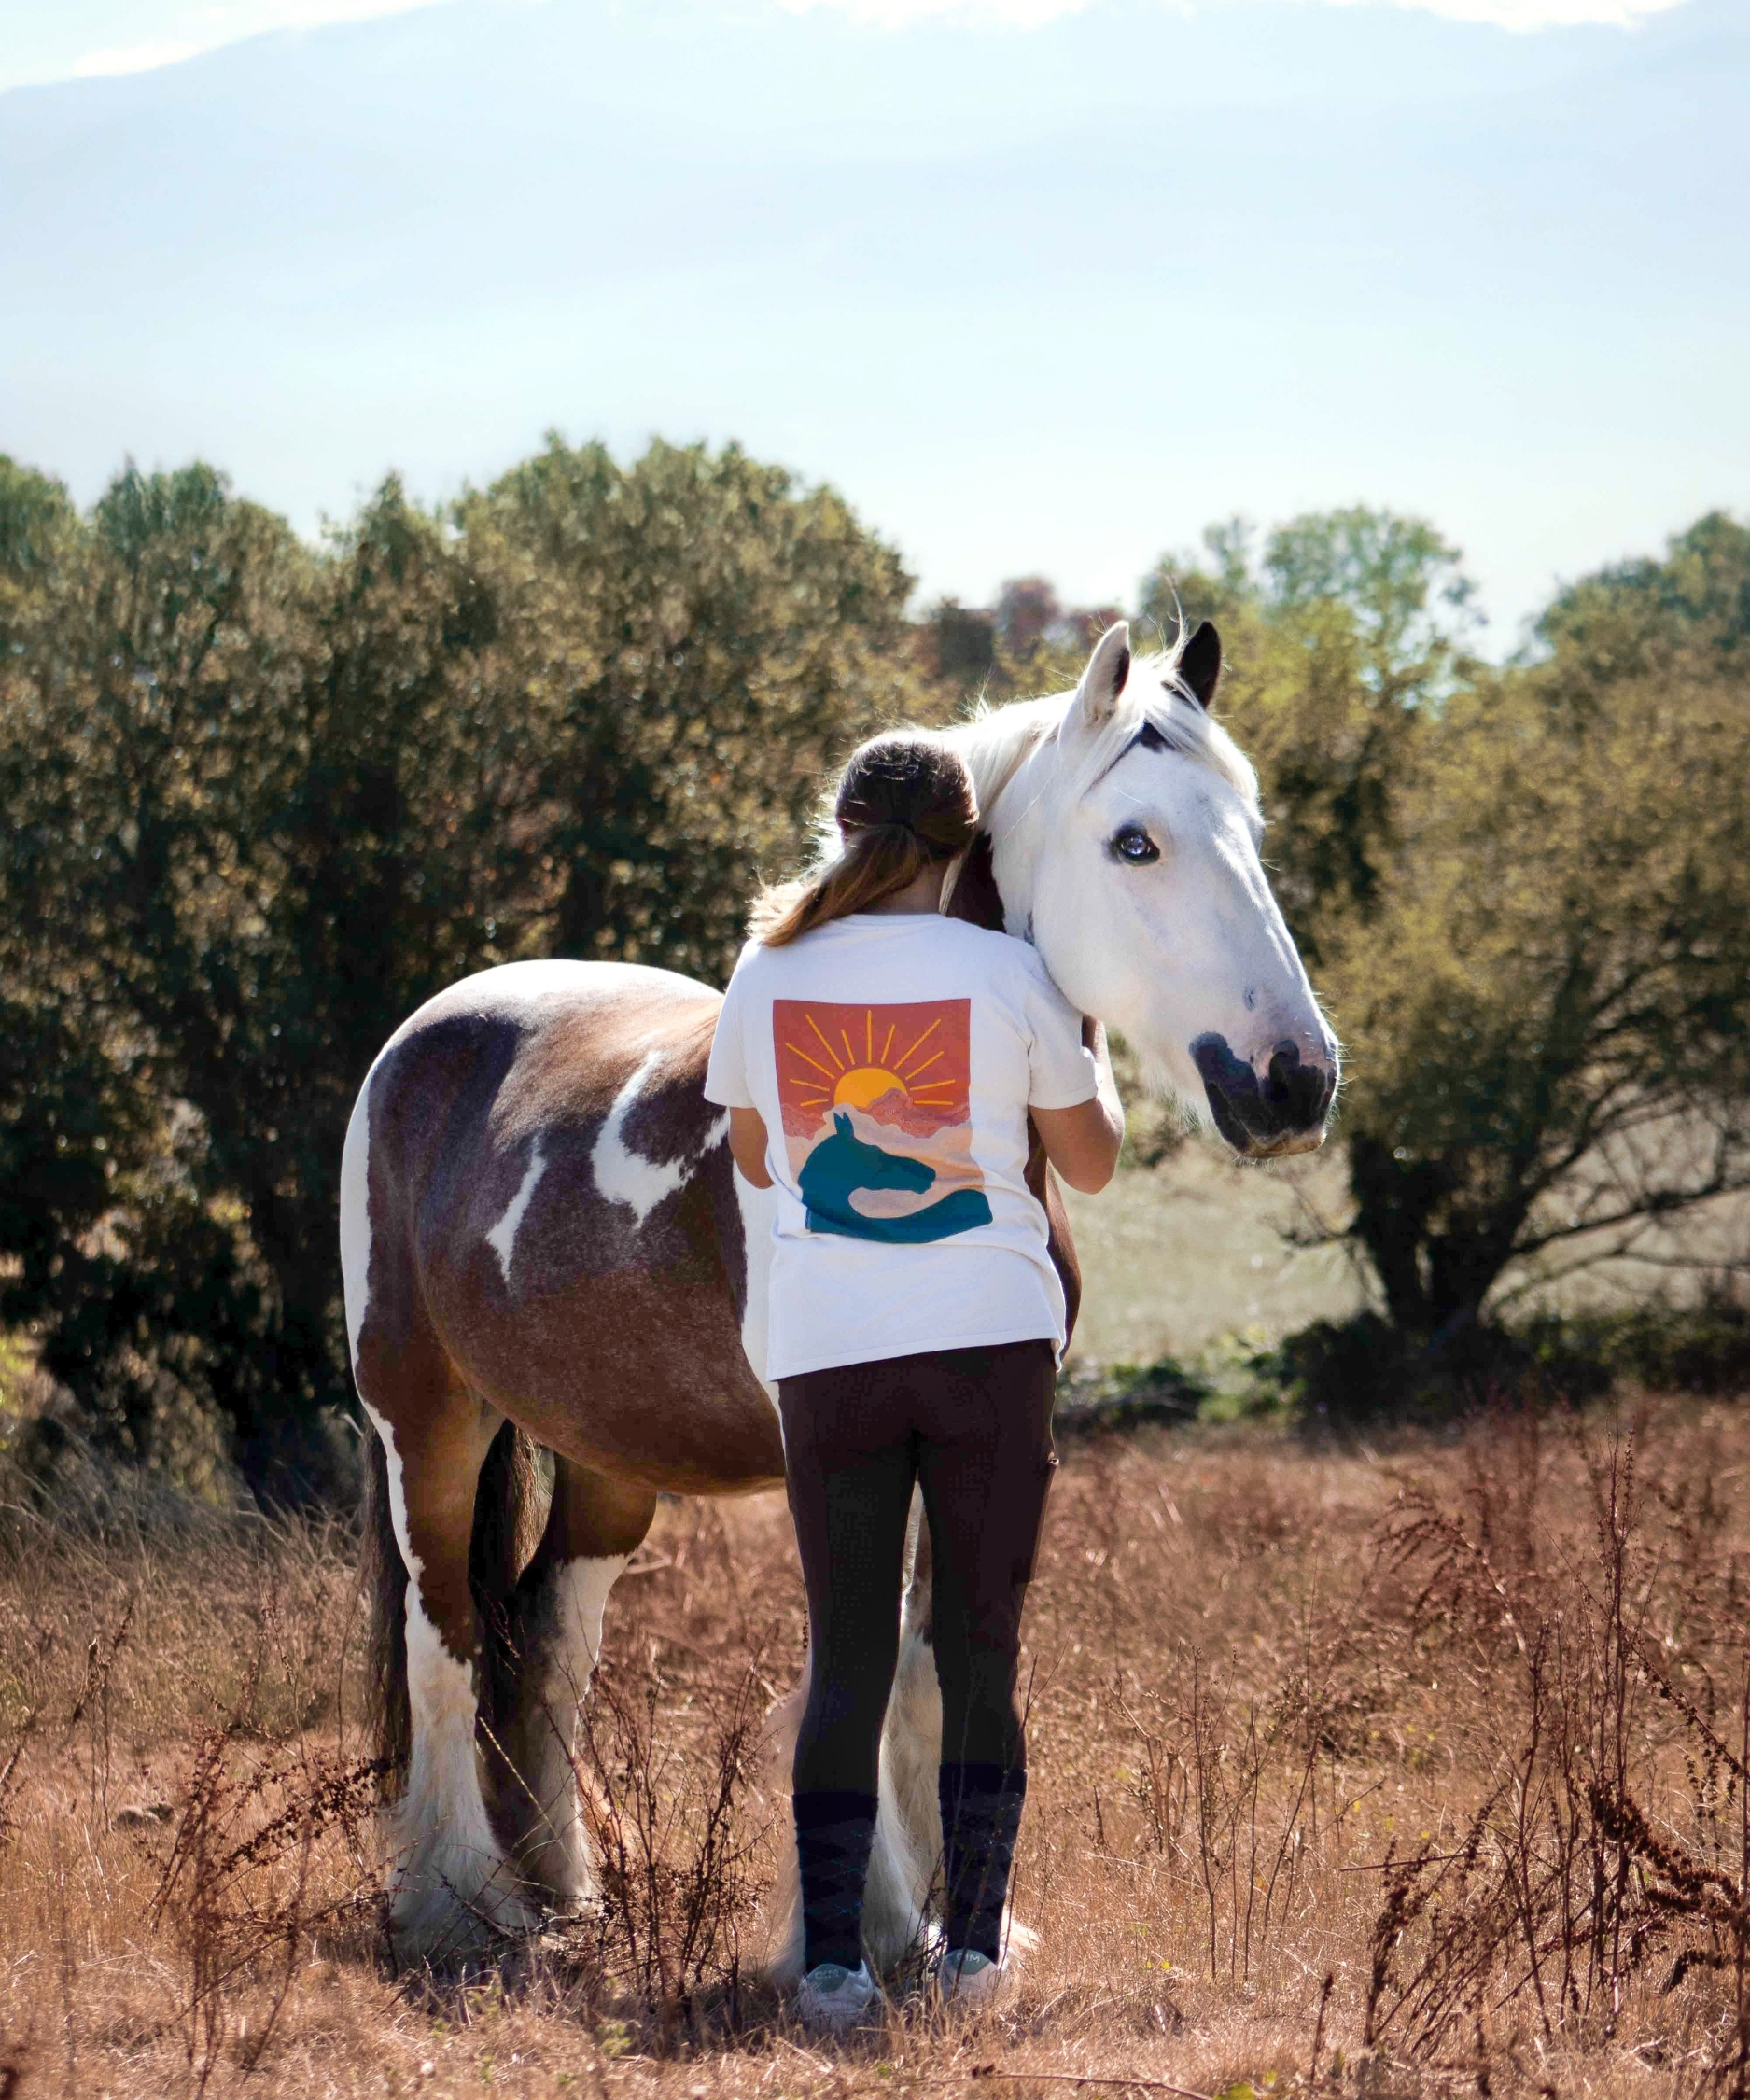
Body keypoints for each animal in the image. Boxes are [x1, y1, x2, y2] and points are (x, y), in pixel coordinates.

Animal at [340, 618, 1339, 1970]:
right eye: (1134, 839)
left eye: (1251, 826)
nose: (1292, 1080)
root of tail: (427, 1035)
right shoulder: (836, 1442)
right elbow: (850, 1675)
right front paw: (863, 1927)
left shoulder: (975, 1430)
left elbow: (918, 1676)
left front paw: (942, 1929)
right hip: (423, 1418)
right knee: (442, 1636)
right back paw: (461, 1907)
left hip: (604, 1457)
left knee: (543, 1639)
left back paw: (566, 1889)